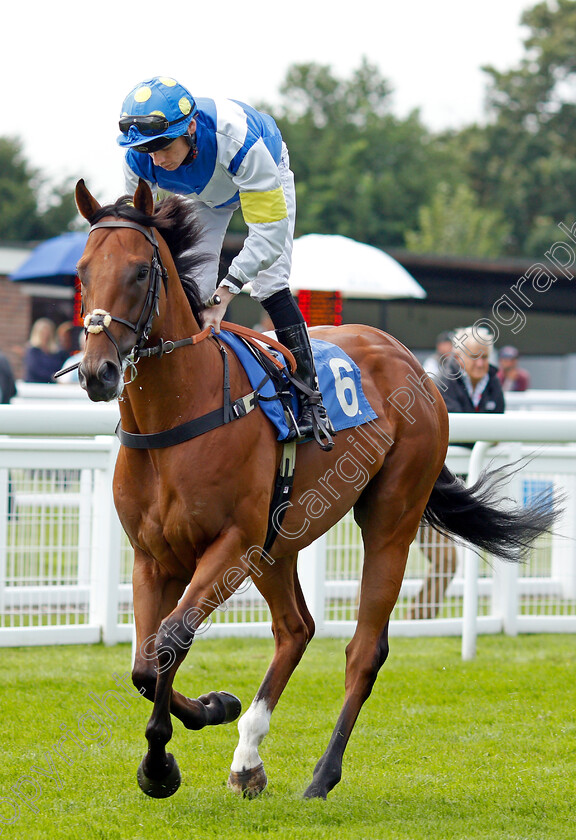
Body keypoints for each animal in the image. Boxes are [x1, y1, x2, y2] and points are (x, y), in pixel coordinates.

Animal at [73, 179, 560, 800]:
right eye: (83, 271)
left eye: (139, 271)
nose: (98, 372)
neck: (180, 413)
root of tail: (412, 362)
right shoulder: (154, 554)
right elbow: (145, 660)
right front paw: (214, 707)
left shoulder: (230, 543)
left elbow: (169, 639)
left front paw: (160, 765)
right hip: (278, 540)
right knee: (295, 628)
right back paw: (248, 758)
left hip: (388, 518)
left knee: (363, 648)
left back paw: (322, 774)